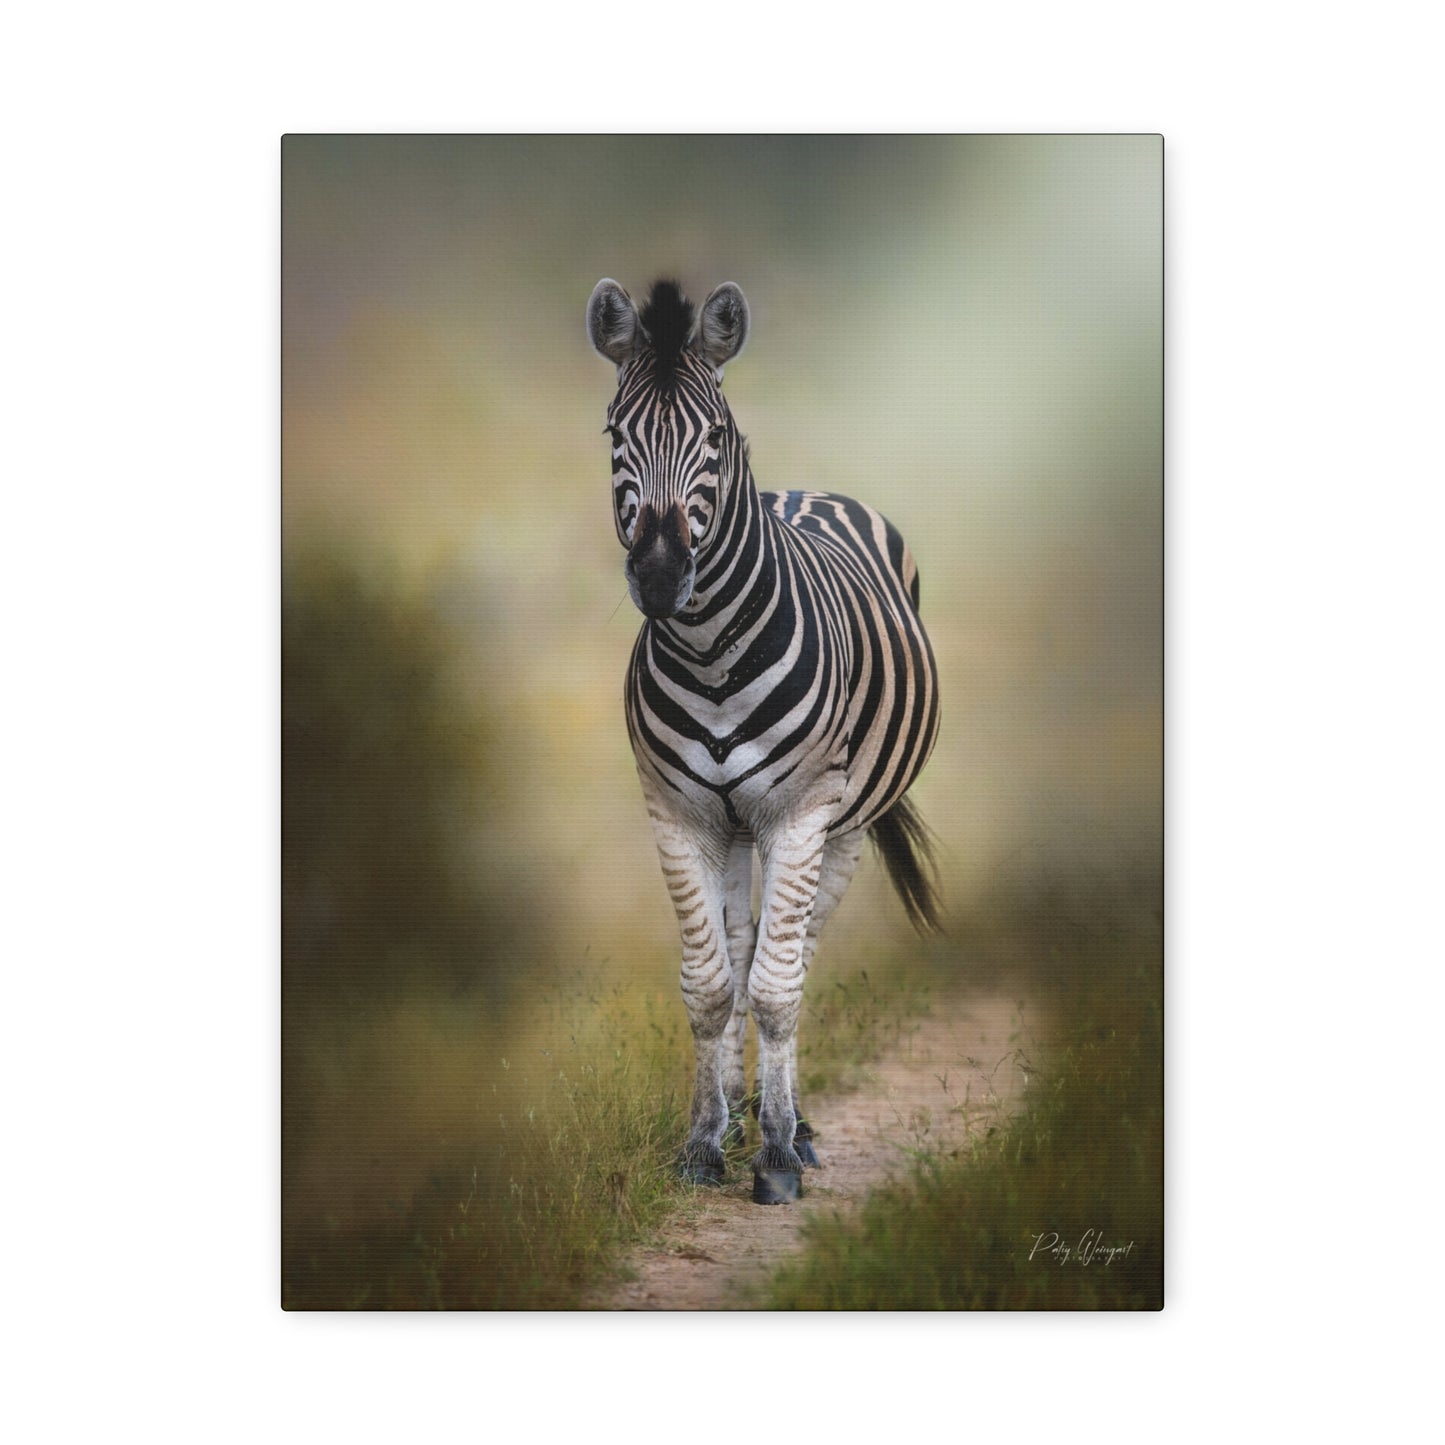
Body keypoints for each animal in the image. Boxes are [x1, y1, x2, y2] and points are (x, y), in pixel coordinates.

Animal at [586, 278, 941, 1204]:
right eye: (614, 434)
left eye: (714, 437)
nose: (661, 577)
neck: (712, 651)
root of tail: (804, 491)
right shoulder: (678, 815)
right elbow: (713, 985)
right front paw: (704, 1141)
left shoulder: (799, 812)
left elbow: (778, 987)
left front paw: (777, 1154)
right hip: (738, 826)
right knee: (743, 954)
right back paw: (744, 1118)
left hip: (842, 825)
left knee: (797, 953)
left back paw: (794, 1128)